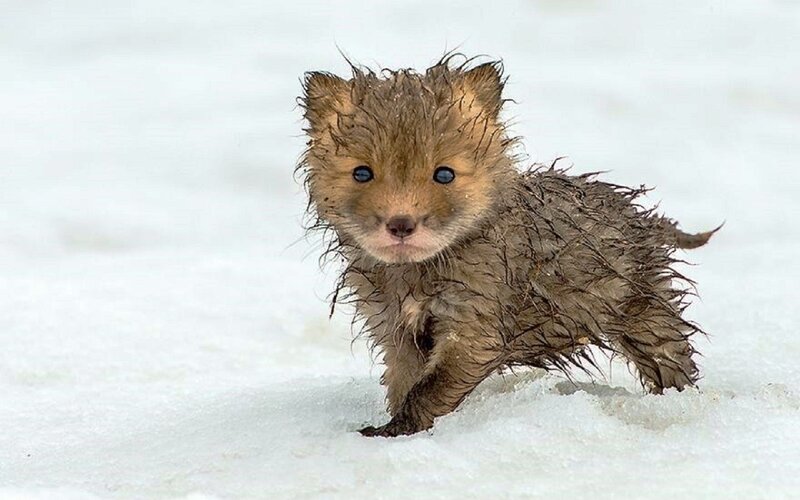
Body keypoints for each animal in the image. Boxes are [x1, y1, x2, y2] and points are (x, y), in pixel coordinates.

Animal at [297, 55, 719, 437]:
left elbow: (431, 388)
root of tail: (639, 215)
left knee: (672, 354)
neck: (416, 275)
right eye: (362, 173)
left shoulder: (477, 322)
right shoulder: (391, 324)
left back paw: (678, 403)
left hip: (644, 308)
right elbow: (404, 381)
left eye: (444, 174)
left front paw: (398, 429)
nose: (401, 223)